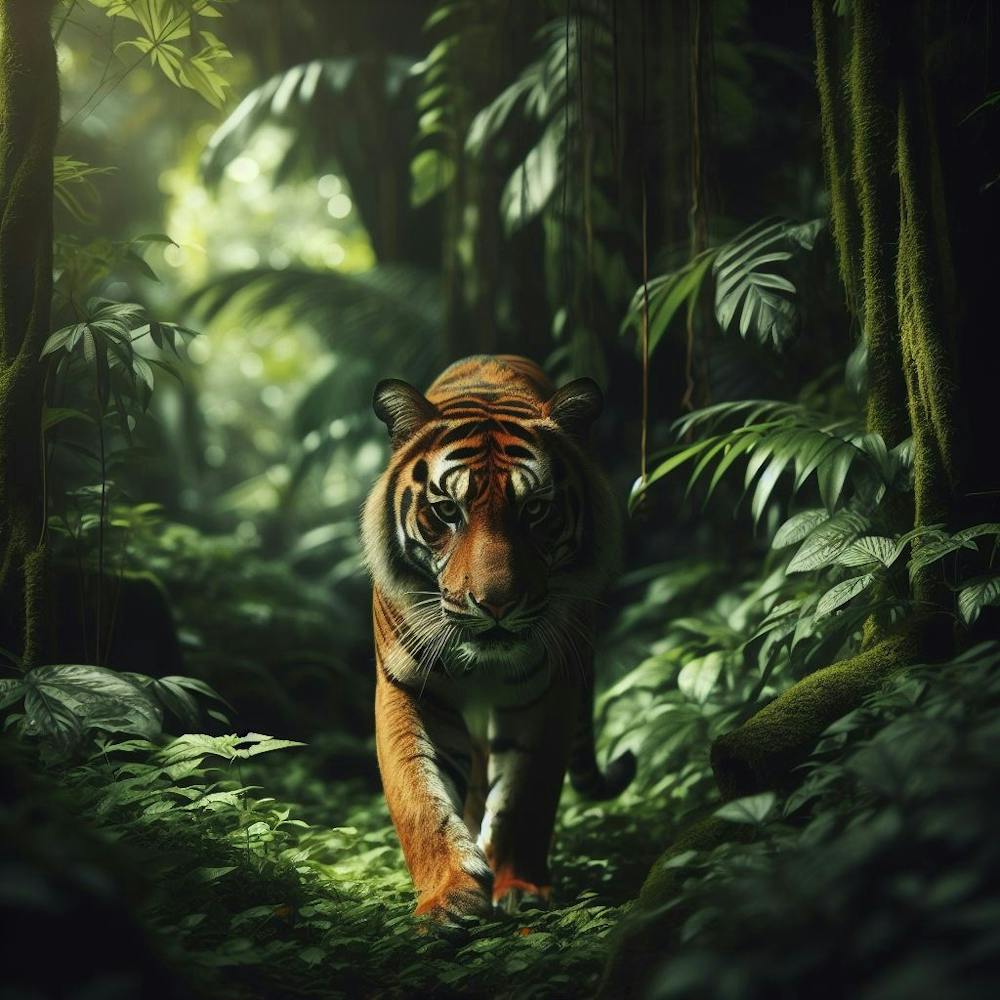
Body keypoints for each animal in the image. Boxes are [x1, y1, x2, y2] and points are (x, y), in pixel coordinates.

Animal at [361, 354, 635, 920]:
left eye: (534, 511)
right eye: (447, 511)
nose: (496, 604)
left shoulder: (548, 693)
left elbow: (526, 796)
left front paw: (519, 887)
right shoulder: (407, 688)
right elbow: (420, 797)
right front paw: (449, 896)